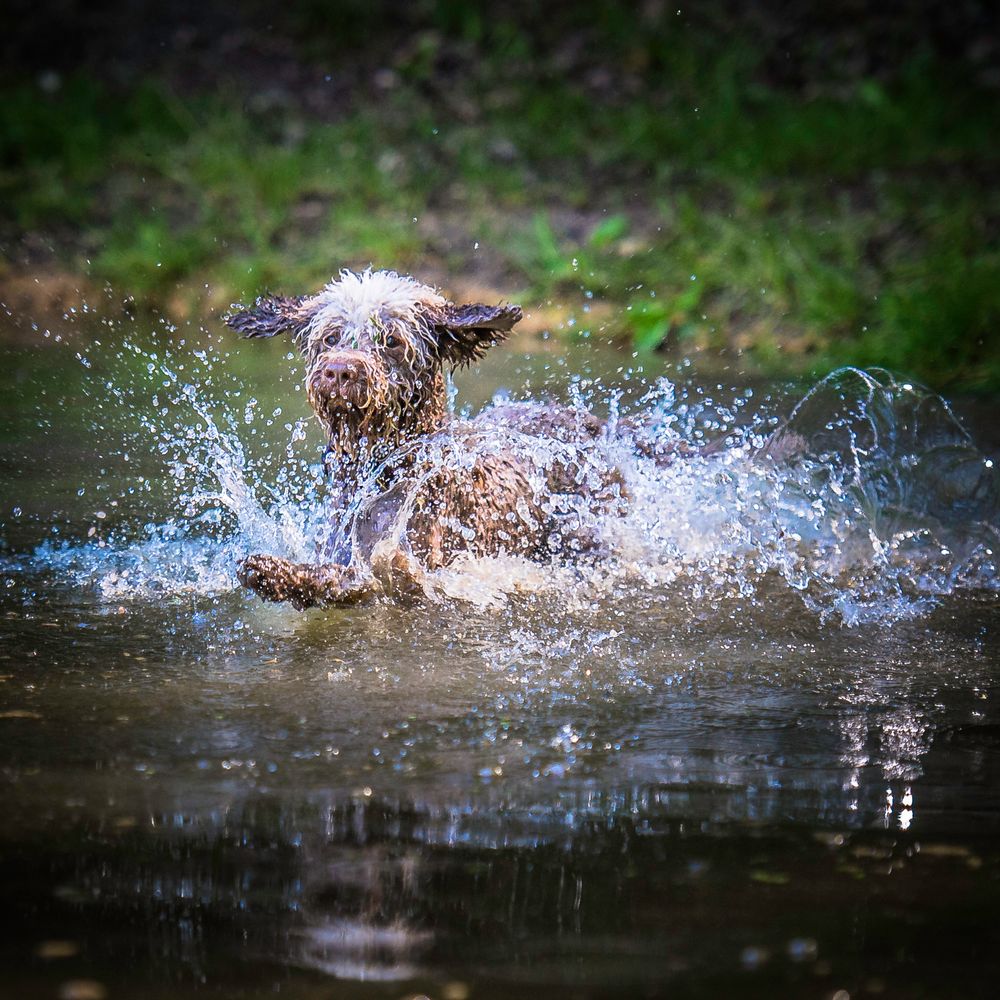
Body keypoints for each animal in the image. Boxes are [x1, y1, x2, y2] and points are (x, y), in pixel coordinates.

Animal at [227, 268, 636, 608]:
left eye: (391, 340)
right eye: (330, 338)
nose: (340, 370)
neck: (386, 469)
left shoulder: (408, 574)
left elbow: (348, 582)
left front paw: (278, 573)